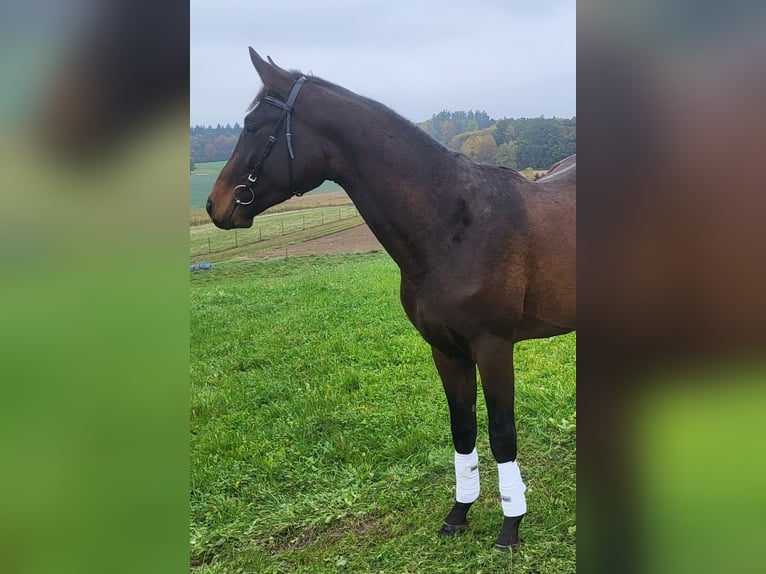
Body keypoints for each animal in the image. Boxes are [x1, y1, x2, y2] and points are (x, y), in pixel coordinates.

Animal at [204, 50, 576, 552]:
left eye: (252, 125)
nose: (215, 205)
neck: (452, 224)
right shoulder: (446, 350)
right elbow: (462, 429)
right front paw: (458, 514)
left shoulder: (494, 347)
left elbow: (502, 433)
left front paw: (510, 525)